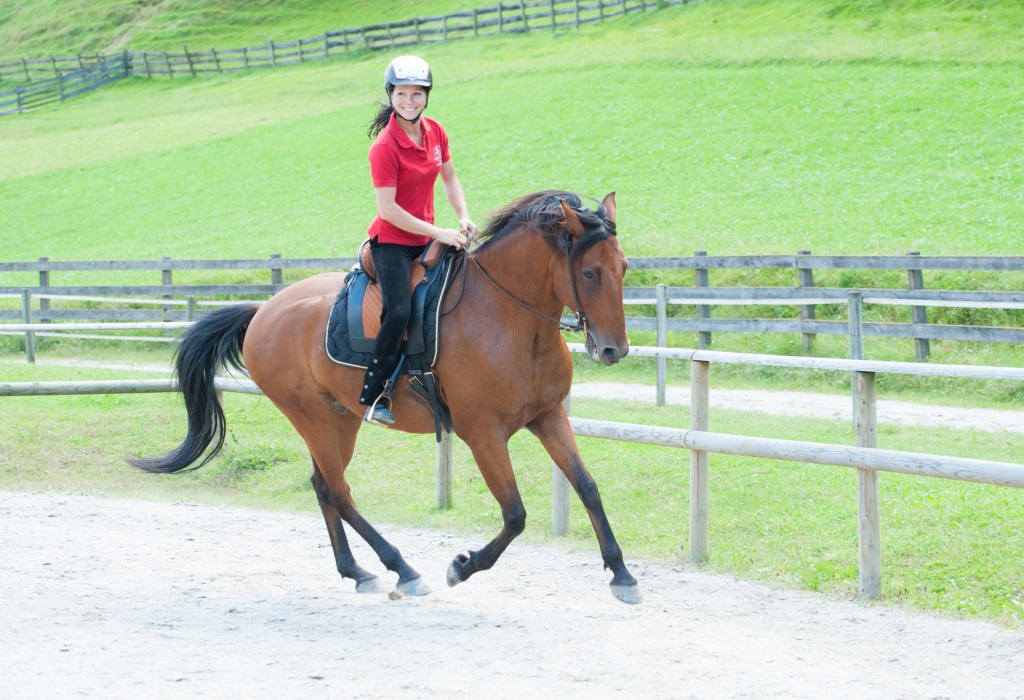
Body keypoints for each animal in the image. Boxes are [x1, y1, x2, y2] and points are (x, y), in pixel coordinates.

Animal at [129, 188, 638, 605]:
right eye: (589, 273)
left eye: (624, 268)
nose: (614, 350)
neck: (507, 317)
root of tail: (263, 311)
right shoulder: (483, 433)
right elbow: (514, 514)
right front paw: (462, 567)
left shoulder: (548, 417)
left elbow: (588, 488)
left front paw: (621, 573)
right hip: (311, 416)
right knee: (338, 491)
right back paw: (402, 569)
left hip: (340, 418)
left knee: (323, 487)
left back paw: (358, 572)